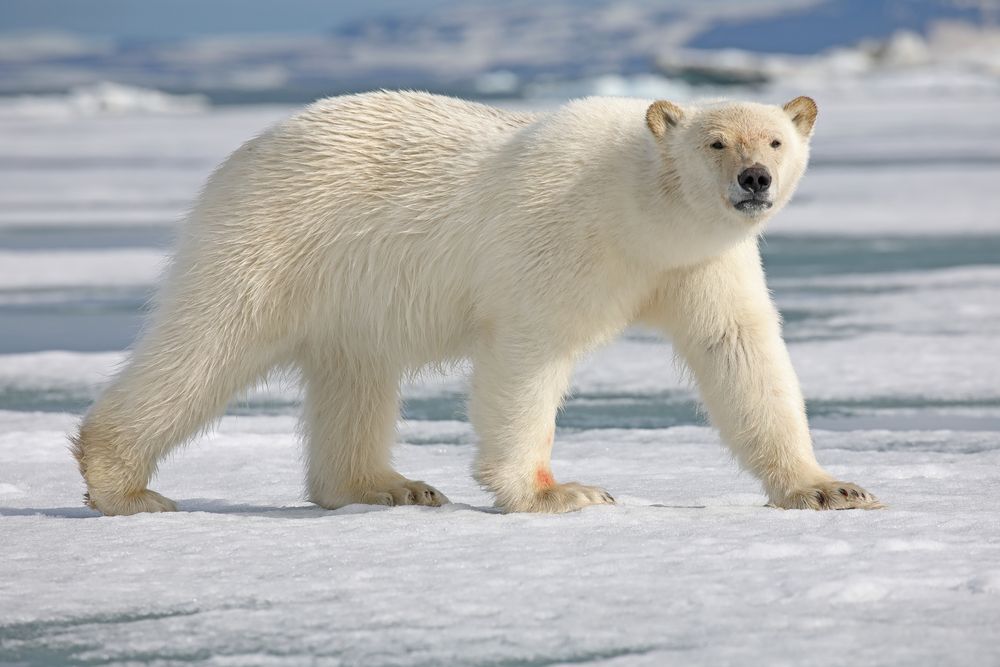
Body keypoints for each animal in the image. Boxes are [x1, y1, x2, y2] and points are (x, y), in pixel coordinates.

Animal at [72, 91, 884, 516]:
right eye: (716, 142)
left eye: (775, 140)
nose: (754, 180)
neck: (637, 210)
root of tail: (239, 154)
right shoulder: (559, 237)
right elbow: (528, 355)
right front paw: (561, 492)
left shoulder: (703, 264)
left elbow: (740, 353)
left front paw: (830, 487)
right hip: (272, 244)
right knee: (206, 344)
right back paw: (125, 485)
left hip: (349, 292)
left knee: (354, 376)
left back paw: (388, 485)